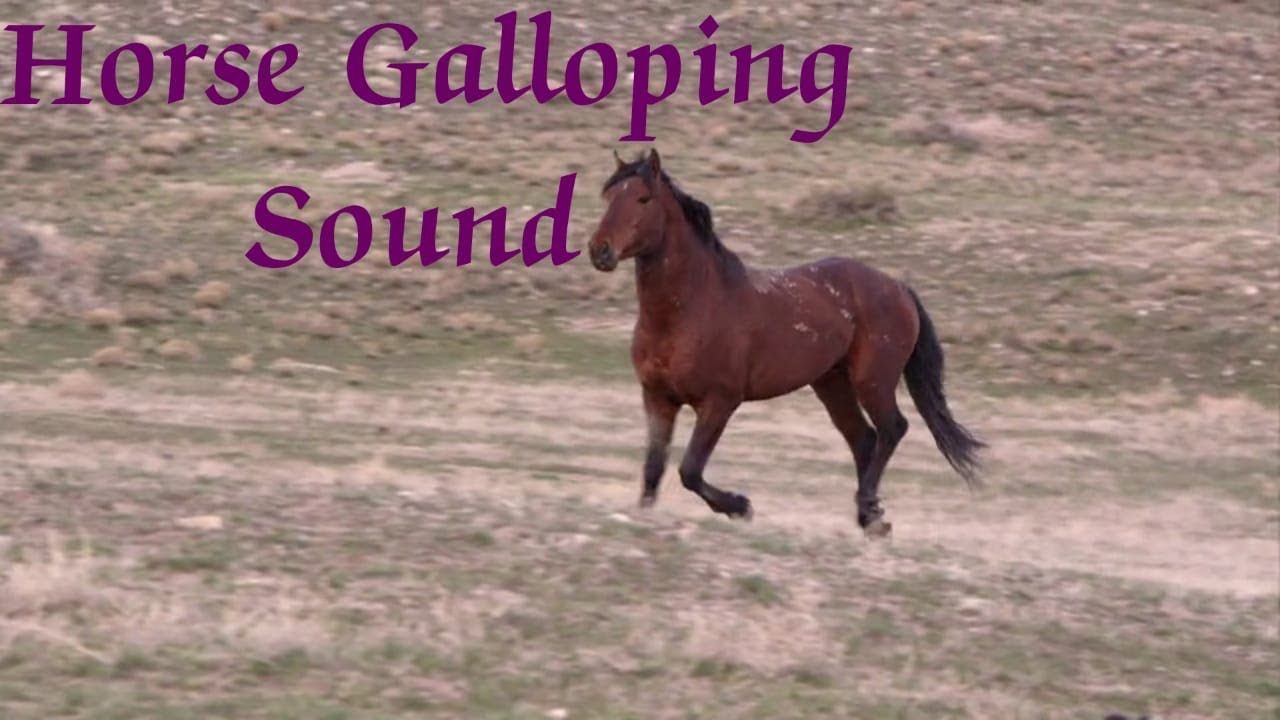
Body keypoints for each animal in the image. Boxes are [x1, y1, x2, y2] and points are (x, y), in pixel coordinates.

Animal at [585, 148, 986, 538]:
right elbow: (653, 469)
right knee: (863, 439)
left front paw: (740, 506)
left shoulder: (719, 402)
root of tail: (898, 287)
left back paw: (870, 510)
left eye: (643, 198)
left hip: (873, 381)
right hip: (832, 384)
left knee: (892, 429)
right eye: (608, 196)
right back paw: (869, 518)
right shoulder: (657, 399)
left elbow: (690, 470)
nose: (599, 250)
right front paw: (644, 516)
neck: (691, 308)